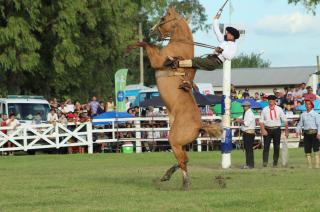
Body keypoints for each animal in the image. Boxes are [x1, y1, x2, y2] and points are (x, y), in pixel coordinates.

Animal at [130, 6, 220, 190]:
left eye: (163, 18)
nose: (152, 31)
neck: (179, 47)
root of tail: (200, 125)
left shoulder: (158, 59)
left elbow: (145, 44)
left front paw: (130, 46)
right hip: (180, 143)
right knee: (184, 159)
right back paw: (168, 175)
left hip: (174, 140)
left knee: (183, 160)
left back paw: (184, 183)